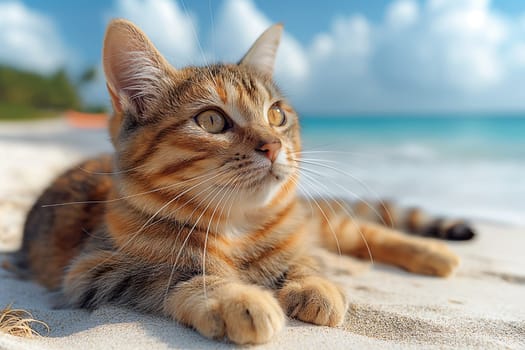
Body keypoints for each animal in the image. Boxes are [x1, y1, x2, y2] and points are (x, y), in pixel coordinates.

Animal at [8, 19, 474, 344]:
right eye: (212, 120)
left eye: (276, 114)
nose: (272, 144)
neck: (238, 224)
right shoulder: (93, 270)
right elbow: (175, 273)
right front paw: (234, 298)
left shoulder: (294, 235)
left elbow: (303, 258)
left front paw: (312, 283)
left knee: (359, 229)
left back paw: (433, 253)